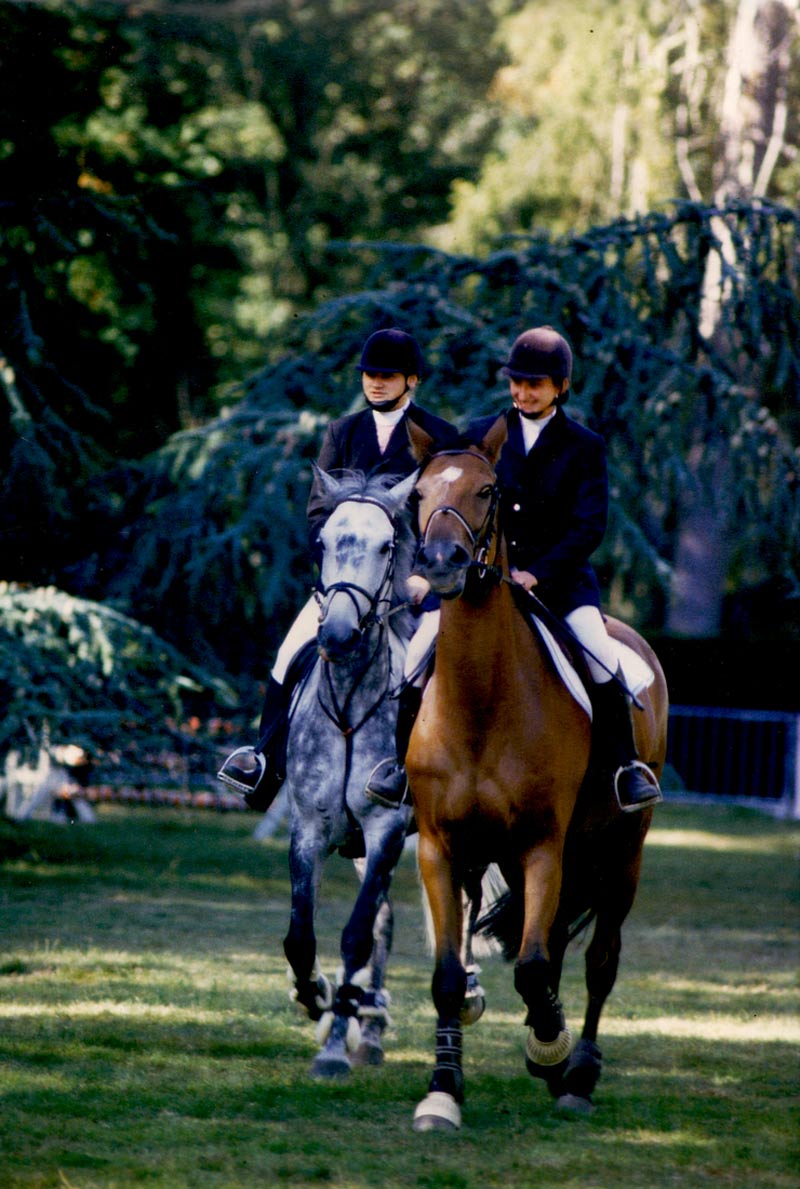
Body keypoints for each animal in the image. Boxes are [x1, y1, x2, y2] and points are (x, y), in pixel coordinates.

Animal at [406, 420, 665, 1131]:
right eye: (418, 492)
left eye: (487, 490)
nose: (442, 563)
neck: (481, 700)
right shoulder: (441, 848)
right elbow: (449, 975)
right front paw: (443, 1089)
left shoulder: (543, 846)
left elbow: (532, 967)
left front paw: (549, 1048)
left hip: (621, 855)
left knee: (600, 959)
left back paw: (578, 1071)